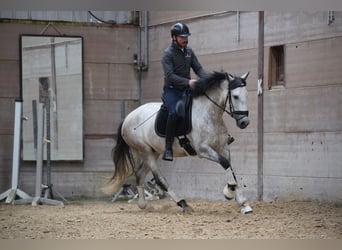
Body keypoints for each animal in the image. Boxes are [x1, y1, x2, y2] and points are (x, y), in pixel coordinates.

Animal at [103, 71, 252, 214]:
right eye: (235, 96)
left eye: (246, 94)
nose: (244, 122)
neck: (209, 114)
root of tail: (128, 117)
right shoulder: (203, 150)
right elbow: (225, 163)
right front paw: (229, 191)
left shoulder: (223, 148)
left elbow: (231, 169)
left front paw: (243, 204)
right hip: (145, 151)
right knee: (159, 179)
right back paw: (183, 203)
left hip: (154, 151)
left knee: (140, 174)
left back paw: (142, 204)